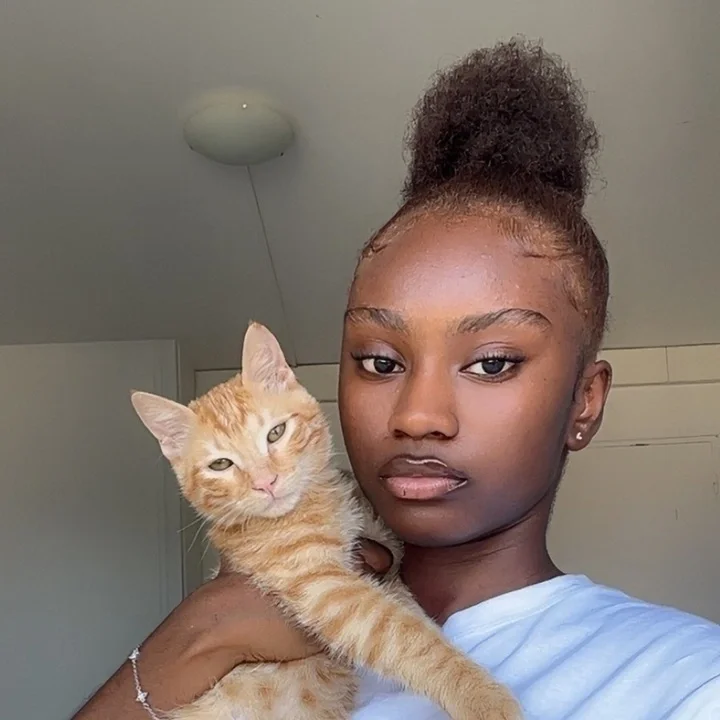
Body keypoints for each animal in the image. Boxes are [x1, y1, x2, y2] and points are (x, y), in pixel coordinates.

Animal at [131, 321, 522, 720]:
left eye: (275, 433)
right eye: (221, 465)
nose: (265, 482)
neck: (313, 502)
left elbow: (411, 613)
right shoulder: (325, 586)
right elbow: (404, 636)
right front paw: (481, 696)